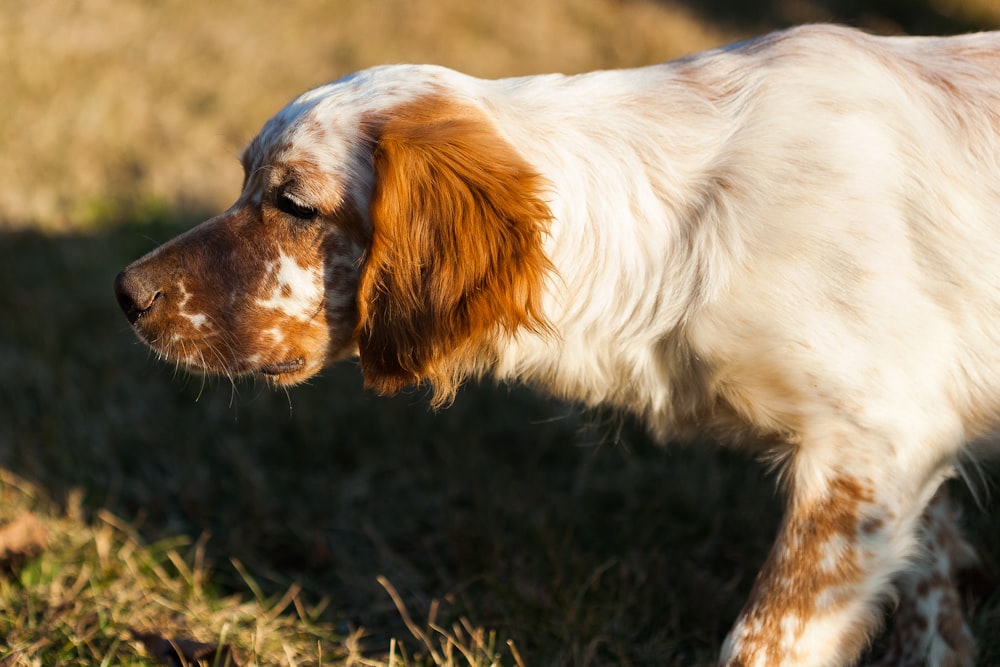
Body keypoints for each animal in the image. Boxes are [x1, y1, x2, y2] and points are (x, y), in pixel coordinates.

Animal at [113, 23, 996, 664]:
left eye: (294, 203)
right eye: (243, 181)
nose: (127, 292)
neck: (683, 227)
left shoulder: (871, 442)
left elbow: (765, 638)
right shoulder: (904, 444)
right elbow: (930, 563)